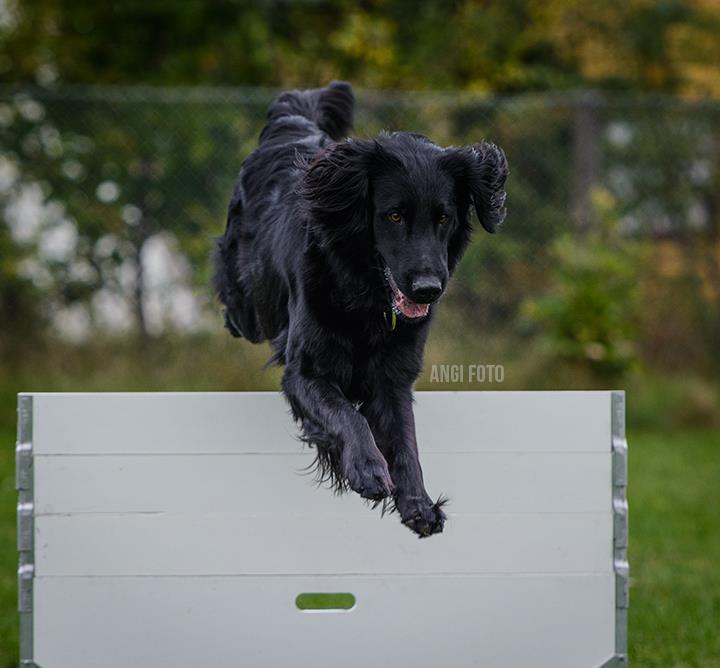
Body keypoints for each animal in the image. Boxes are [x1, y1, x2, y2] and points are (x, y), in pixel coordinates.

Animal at [212, 82, 506, 536]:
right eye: (394, 215)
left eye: (444, 218)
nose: (427, 290)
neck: (367, 300)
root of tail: (294, 122)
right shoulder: (306, 372)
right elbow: (347, 416)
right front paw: (367, 470)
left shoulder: (394, 376)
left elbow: (405, 440)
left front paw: (418, 502)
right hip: (251, 300)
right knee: (240, 311)